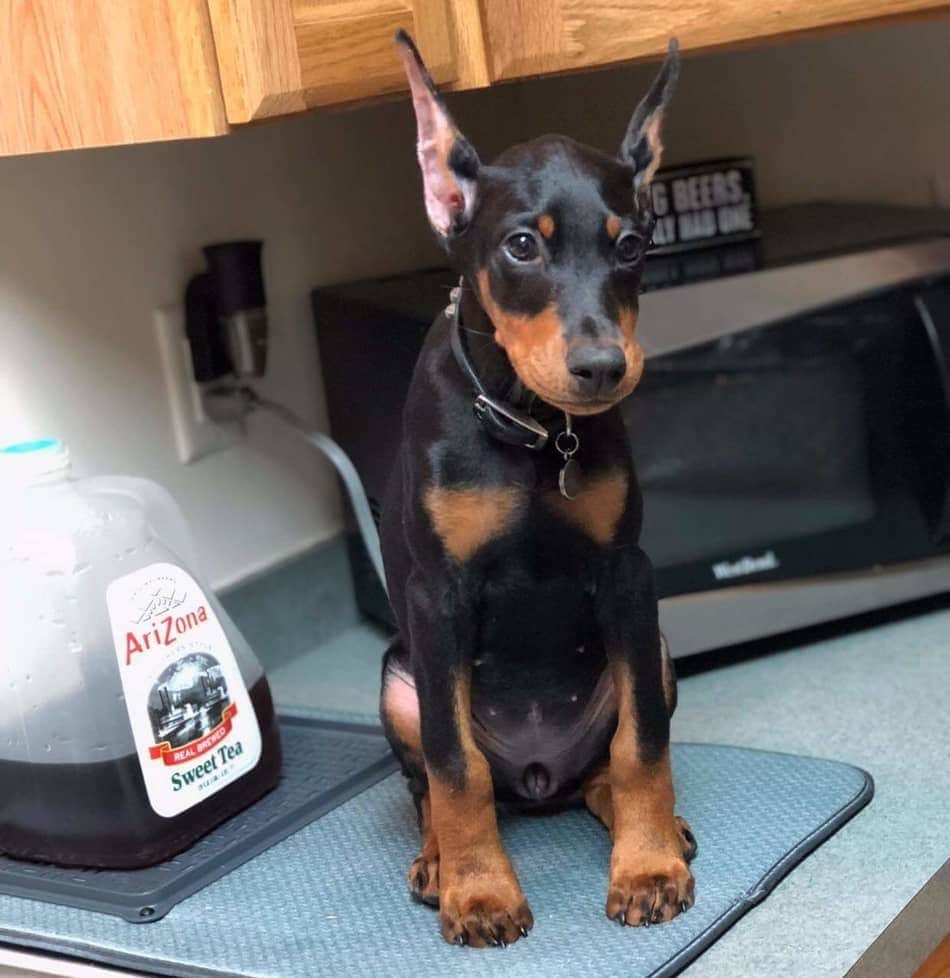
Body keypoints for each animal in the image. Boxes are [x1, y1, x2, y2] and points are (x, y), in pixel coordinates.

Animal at [380, 30, 700, 944]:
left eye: (632, 247)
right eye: (523, 245)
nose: (601, 369)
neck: (530, 428)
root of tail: (536, 774)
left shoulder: (627, 575)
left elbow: (642, 746)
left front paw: (647, 867)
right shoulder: (439, 595)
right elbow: (453, 768)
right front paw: (480, 892)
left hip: (653, 650)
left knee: (607, 762)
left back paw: (659, 829)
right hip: (398, 678)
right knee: (432, 784)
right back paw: (437, 863)